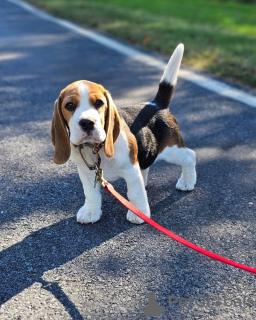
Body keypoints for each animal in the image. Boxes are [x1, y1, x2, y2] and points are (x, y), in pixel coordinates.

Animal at [51, 44, 197, 225]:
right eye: (69, 105)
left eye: (99, 103)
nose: (87, 123)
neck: (96, 149)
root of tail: (156, 105)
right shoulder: (86, 173)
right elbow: (91, 194)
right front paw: (91, 211)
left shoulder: (130, 170)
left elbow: (135, 193)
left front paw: (138, 212)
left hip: (172, 150)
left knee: (190, 156)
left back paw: (187, 181)